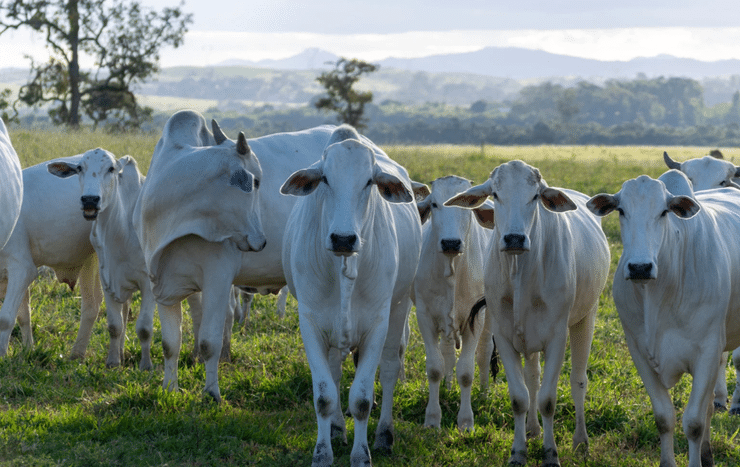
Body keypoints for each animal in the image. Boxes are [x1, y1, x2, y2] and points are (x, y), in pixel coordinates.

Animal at [0, 155, 102, 360]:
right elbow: (23, 316)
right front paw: (28, 349)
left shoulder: (22, 268)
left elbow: (6, 318)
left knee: (92, 306)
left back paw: (78, 354)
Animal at [280, 125, 422, 467]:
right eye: (325, 179)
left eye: (369, 181)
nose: (343, 238)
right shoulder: (311, 323)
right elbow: (324, 395)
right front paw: (322, 452)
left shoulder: (377, 325)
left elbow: (361, 399)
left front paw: (361, 456)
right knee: (334, 371)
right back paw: (336, 430)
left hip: (399, 309)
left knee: (390, 369)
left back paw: (384, 435)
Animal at [414, 176, 494, 432]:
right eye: (434, 204)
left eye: (466, 206)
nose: (450, 243)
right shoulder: (425, 316)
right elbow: (434, 368)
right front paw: (432, 418)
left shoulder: (475, 318)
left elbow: (467, 373)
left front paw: (466, 421)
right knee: (447, 352)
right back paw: (448, 388)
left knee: (484, 352)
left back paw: (484, 393)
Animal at [442, 161, 608, 467]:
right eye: (496, 194)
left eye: (535, 197)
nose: (515, 238)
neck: (520, 273)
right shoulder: (506, 337)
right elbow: (520, 397)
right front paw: (518, 452)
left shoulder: (556, 338)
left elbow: (547, 400)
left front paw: (551, 454)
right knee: (533, 378)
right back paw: (532, 430)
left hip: (586, 318)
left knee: (578, 381)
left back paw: (581, 441)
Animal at [588, 173, 740, 467]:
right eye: (621, 210)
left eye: (663, 212)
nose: (640, 267)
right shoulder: (639, 353)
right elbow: (664, 417)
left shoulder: (706, 351)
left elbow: (693, 423)